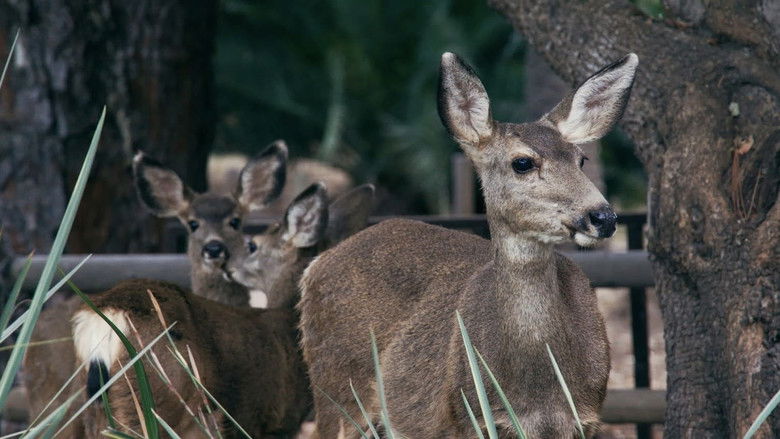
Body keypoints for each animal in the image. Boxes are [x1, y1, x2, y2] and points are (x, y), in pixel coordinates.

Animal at [298, 52, 638, 438]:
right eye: (522, 162)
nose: (603, 216)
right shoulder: (468, 416)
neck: (539, 389)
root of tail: (316, 265)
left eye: (581, 159)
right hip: (335, 388)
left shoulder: (586, 417)